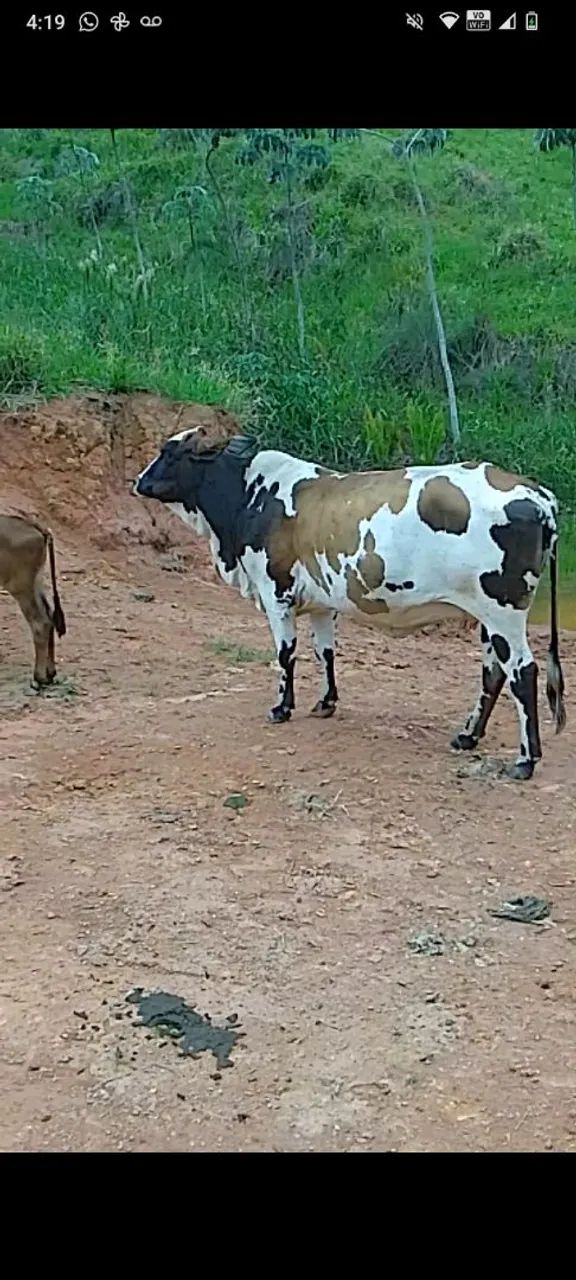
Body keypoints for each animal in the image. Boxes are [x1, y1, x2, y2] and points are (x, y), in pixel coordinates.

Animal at [0, 513, 66, 688]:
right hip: (35, 582)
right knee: (49, 615)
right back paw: (50, 672)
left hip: (21, 587)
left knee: (40, 622)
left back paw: (40, 676)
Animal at [134, 432, 566, 781]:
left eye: (171, 452)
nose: (139, 481)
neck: (250, 496)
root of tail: (539, 496)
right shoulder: (322, 603)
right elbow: (324, 652)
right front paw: (326, 702)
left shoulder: (277, 594)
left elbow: (285, 655)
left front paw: (281, 708)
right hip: (487, 618)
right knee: (493, 674)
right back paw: (467, 736)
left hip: (503, 612)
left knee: (522, 672)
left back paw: (525, 760)